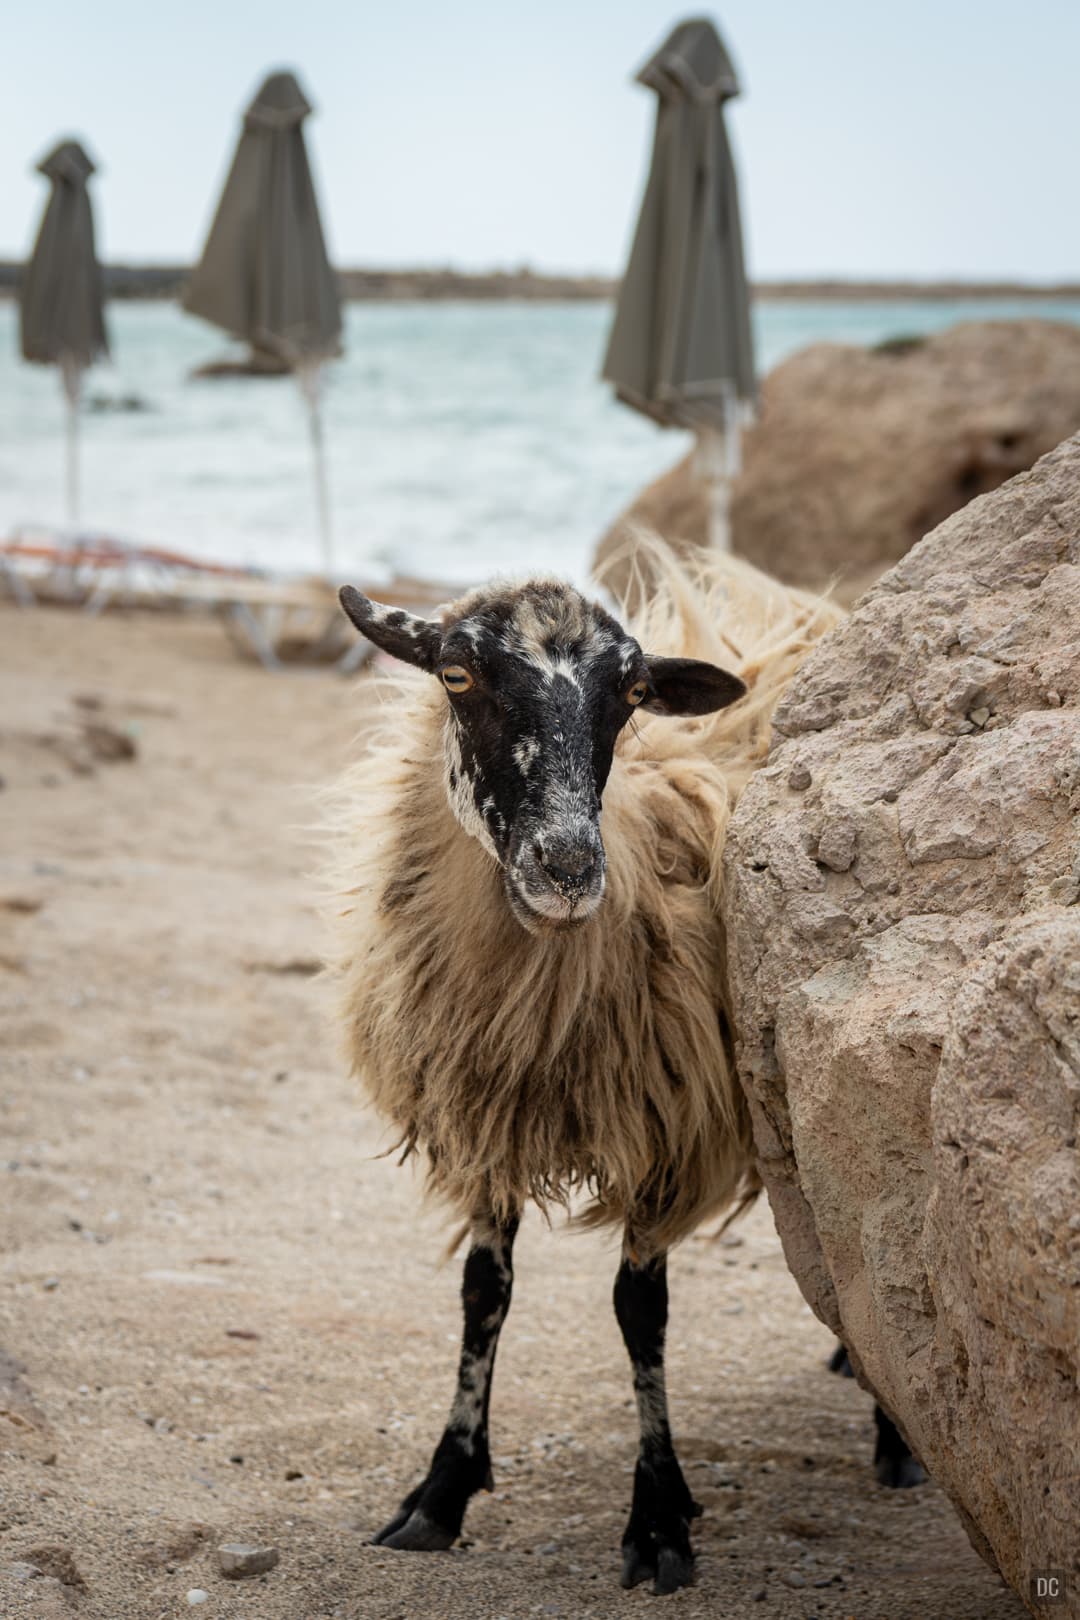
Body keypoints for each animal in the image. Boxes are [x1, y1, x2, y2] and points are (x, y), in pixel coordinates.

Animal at [330, 547, 841, 1594]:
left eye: (635, 692)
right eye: (455, 672)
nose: (566, 869)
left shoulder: (665, 1135)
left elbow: (640, 1312)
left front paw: (659, 1518)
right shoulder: (486, 1118)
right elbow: (483, 1293)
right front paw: (440, 1493)